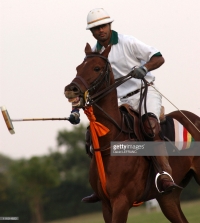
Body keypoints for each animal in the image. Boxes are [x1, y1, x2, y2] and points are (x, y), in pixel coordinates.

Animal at [64, 42, 200, 222]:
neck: (111, 141)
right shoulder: (106, 204)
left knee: (150, 123)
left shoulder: (121, 200)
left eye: (97, 68)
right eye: (78, 68)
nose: (70, 89)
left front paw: (138, 71)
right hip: (167, 197)